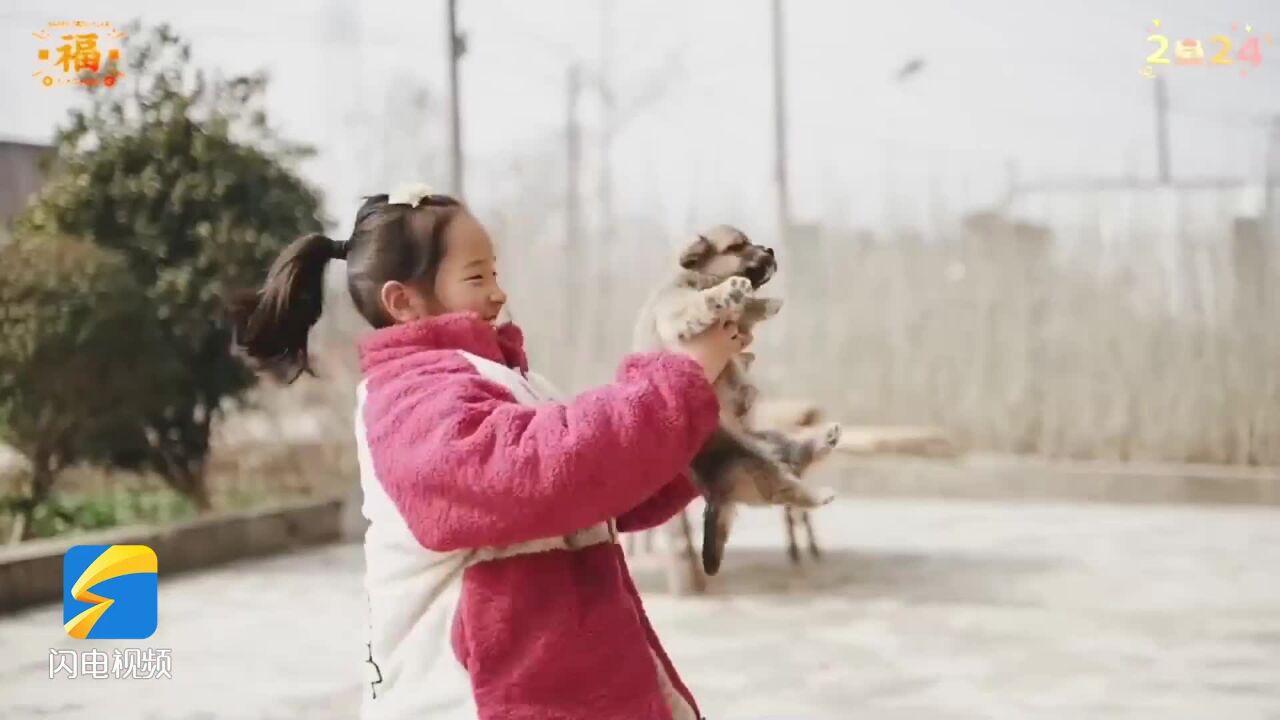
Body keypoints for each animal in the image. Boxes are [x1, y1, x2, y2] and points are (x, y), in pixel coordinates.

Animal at [632, 224, 834, 571]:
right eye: (738, 246)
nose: (770, 250)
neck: (695, 277)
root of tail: (715, 494)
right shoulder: (679, 311)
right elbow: (707, 301)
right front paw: (733, 290)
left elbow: (745, 313)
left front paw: (763, 303)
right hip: (753, 463)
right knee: (785, 491)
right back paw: (821, 494)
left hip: (771, 440)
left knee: (798, 454)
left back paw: (825, 438)